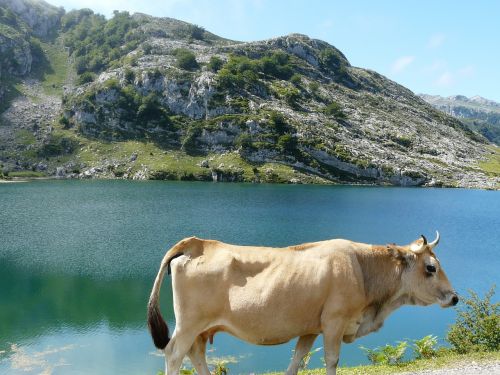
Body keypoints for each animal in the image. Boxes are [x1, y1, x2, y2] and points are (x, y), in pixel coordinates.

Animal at [147, 232, 458, 375]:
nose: (454, 297)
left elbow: (297, 359)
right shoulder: (334, 322)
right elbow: (331, 360)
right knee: (174, 354)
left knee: (196, 354)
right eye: (431, 267)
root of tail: (195, 242)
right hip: (189, 324)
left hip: (199, 328)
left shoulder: (310, 328)